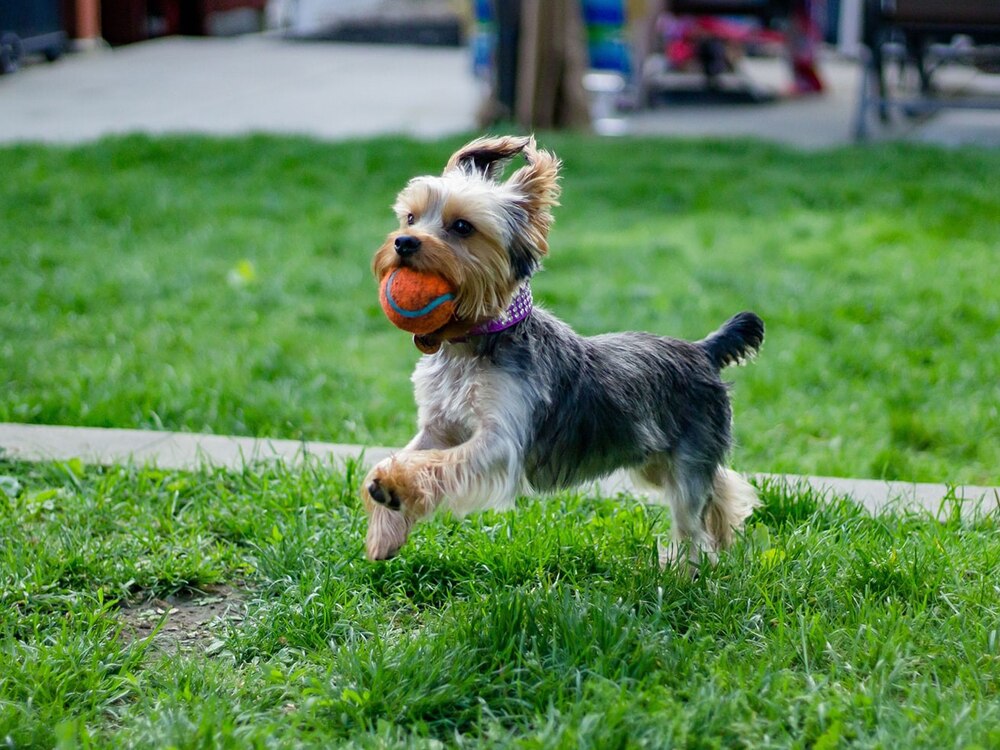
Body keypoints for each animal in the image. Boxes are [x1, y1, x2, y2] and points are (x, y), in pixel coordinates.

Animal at [364, 137, 760, 568]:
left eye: (462, 227)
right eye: (410, 218)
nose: (403, 242)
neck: (471, 341)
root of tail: (704, 350)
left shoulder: (501, 441)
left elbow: (441, 463)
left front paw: (394, 486)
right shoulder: (440, 425)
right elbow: (412, 454)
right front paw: (384, 522)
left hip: (687, 454)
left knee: (691, 521)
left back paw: (685, 571)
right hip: (653, 457)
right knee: (721, 486)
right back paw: (726, 532)